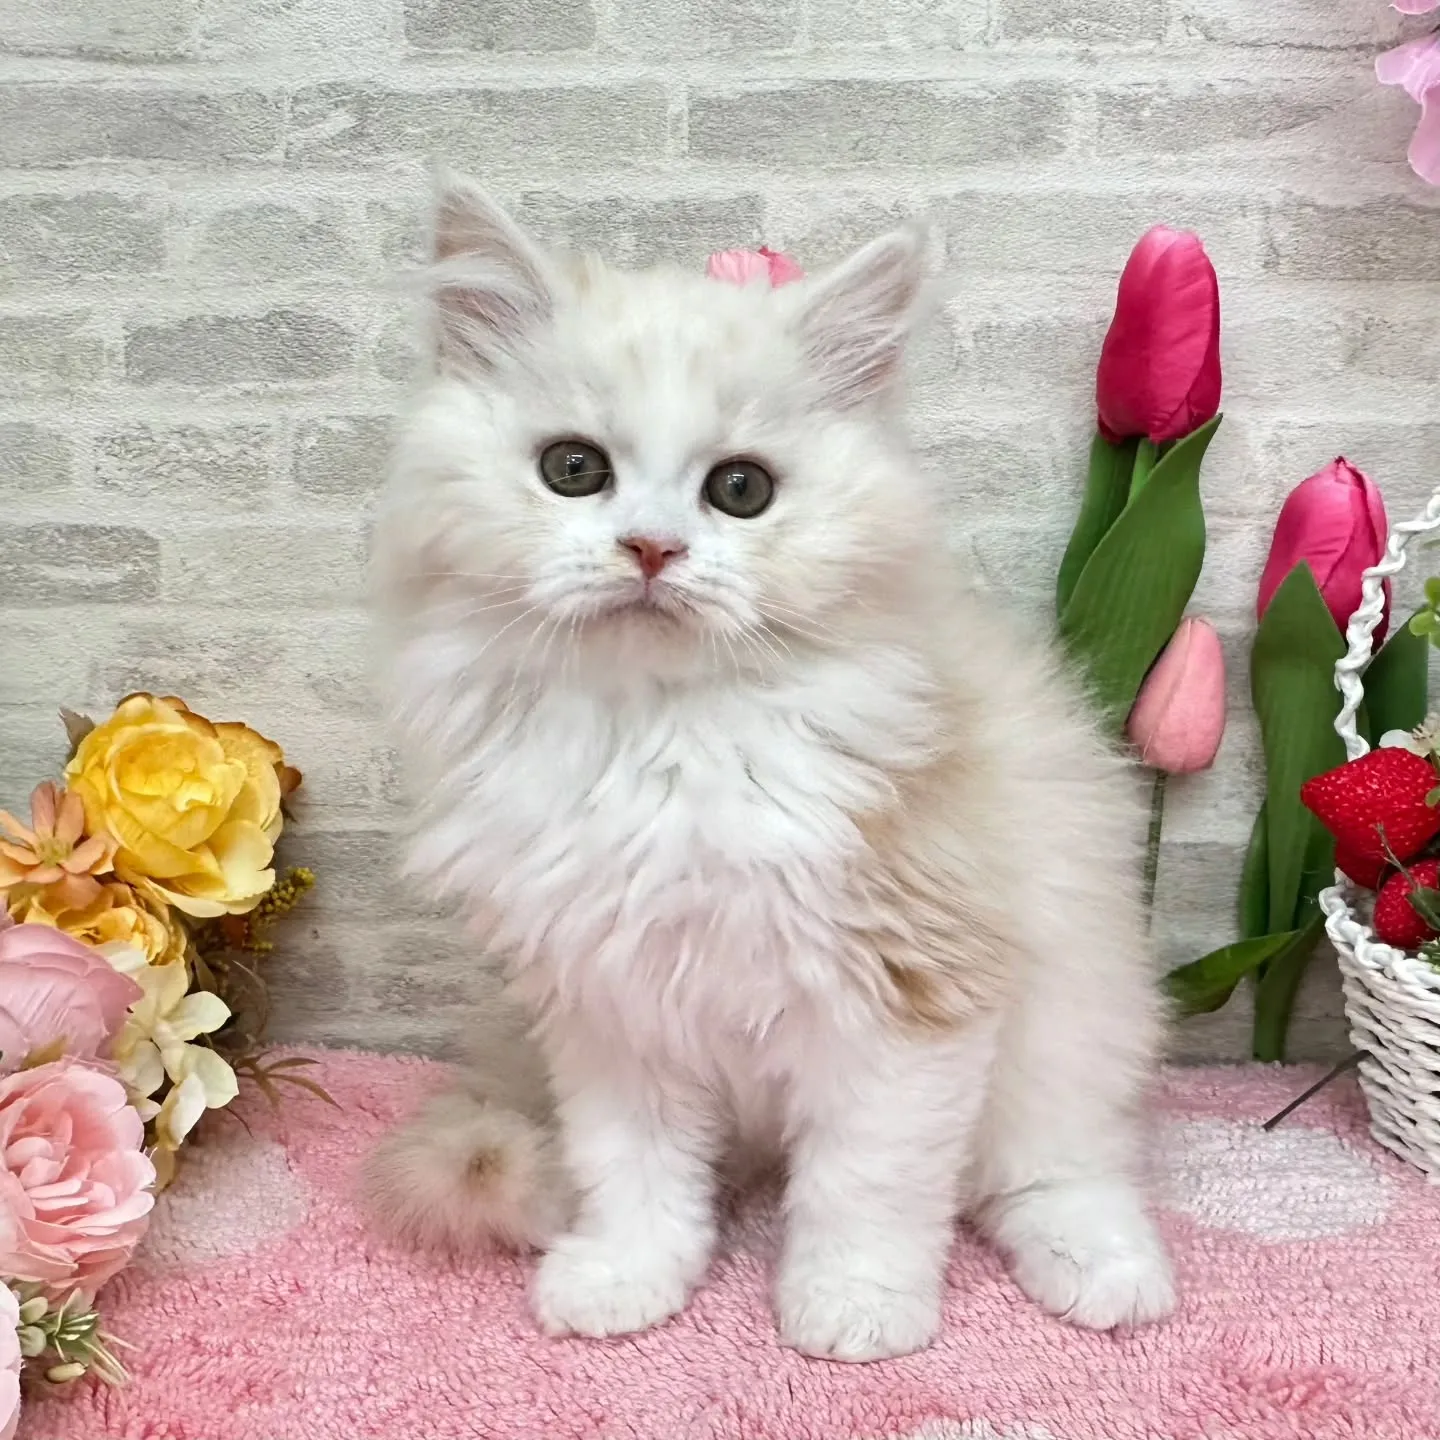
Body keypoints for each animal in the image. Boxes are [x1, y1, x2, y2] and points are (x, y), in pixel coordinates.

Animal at [362, 172, 1176, 1362]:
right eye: (574, 471)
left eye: (740, 491)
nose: (651, 549)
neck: (664, 739)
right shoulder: (610, 1002)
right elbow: (635, 1170)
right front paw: (629, 1278)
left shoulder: (911, 993)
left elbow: (868, 1184)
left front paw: (856, 1308)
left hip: (1069, 1015)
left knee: (1046, 1172)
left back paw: (1105, 1271)